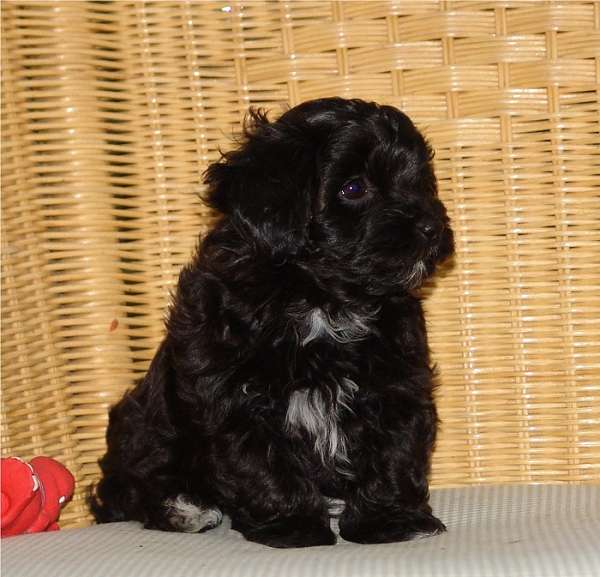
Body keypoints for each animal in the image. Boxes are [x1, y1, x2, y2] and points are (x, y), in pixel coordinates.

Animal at [90, 97, 454, 548]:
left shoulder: (395, 384)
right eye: (354, 188)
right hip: (145, 426)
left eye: (421, 182)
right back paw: (183, 508)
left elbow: (393, 452)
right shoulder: (234, 397)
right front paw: (292, 525)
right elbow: (262, 464)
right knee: (130, 484)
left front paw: (390, 520)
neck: (320, 298)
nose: (431, 227)